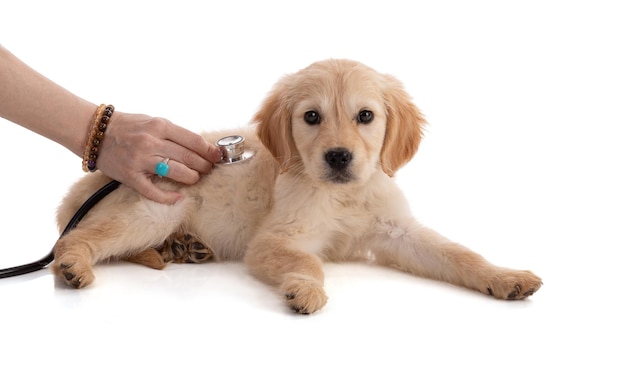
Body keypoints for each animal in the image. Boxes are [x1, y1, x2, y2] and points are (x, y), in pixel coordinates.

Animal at [54, 59, 540, 314]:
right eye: (311, 117)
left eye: (365, 116)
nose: (339, 157)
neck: (343, 194)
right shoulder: (275, 239)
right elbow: (309, 262)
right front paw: (305, 289)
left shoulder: (397, 231)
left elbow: (459, 254)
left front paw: (506, 277)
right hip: (154, 210)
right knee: (74, 238)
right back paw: (76, 265)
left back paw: (185, 248)